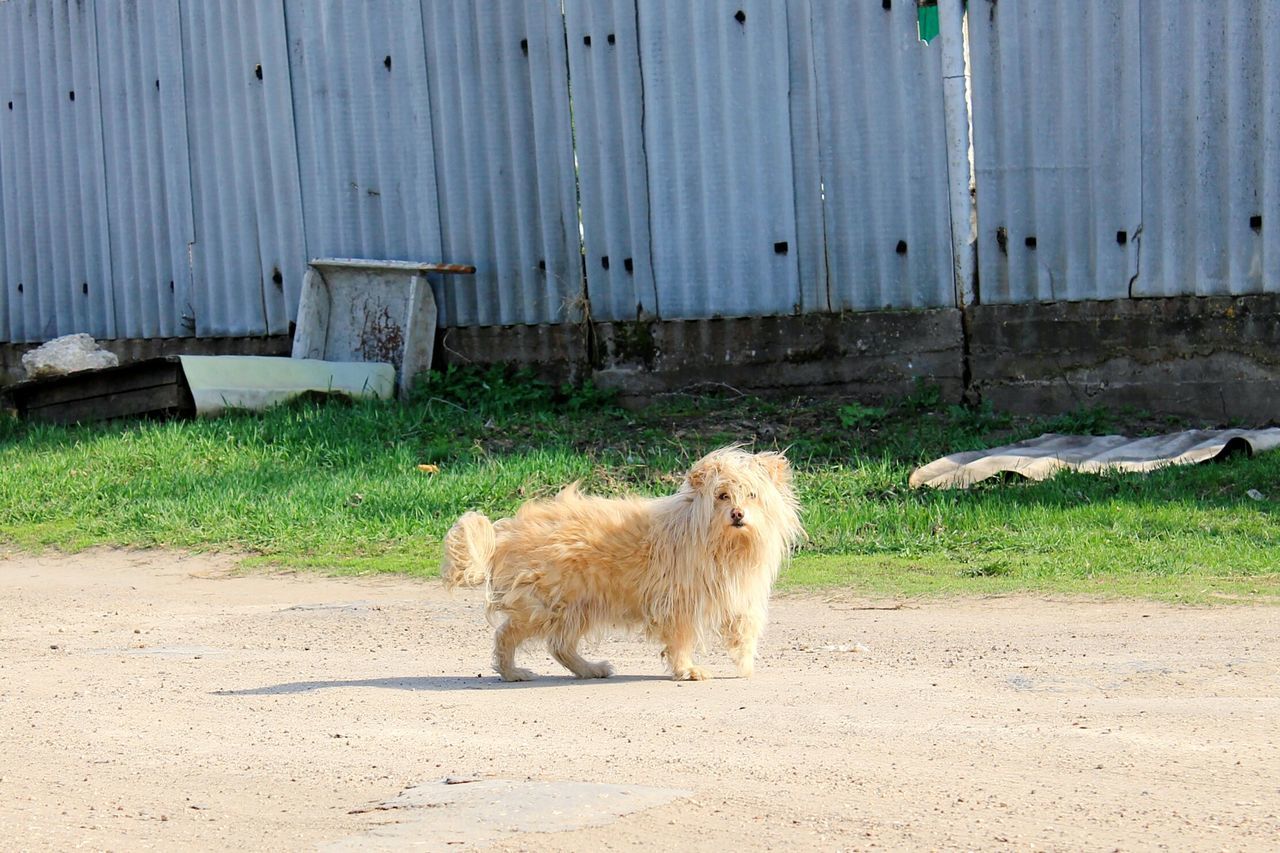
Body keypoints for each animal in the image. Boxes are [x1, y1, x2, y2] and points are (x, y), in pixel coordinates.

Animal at [440, 445, 798, 676]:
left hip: (576, 606)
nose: (738, 514)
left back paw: (589, 669)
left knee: (560, 646)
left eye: (752, 495)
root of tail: (503, 534)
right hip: (544, 604)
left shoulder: (739, 594)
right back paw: (513, 672)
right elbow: (681, 640)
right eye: (722, 496)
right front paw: (687, 669)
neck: (724, 545)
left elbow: (744, 627)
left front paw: (746, 663)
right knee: (507, 635)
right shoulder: (679, 604)